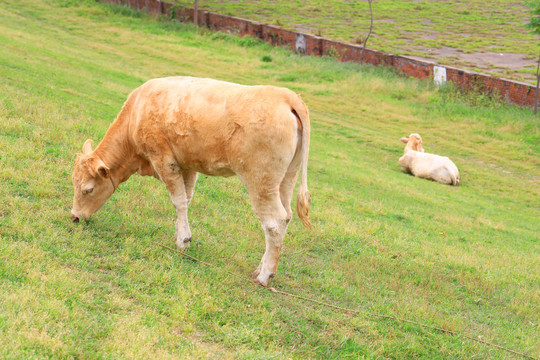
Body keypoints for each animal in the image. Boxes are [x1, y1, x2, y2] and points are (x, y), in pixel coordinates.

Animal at [70, 76, 312, 286]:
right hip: (286, 178)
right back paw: (259, 268)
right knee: (287, 216)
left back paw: (264, 275)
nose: (74, 217)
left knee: (274, 222)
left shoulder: (163, 160)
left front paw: (183, 239)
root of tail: (286, 96)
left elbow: (178, 200)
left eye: (88, 189)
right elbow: (186, 199)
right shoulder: (187, 166)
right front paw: (180, 235)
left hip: (261, 180)